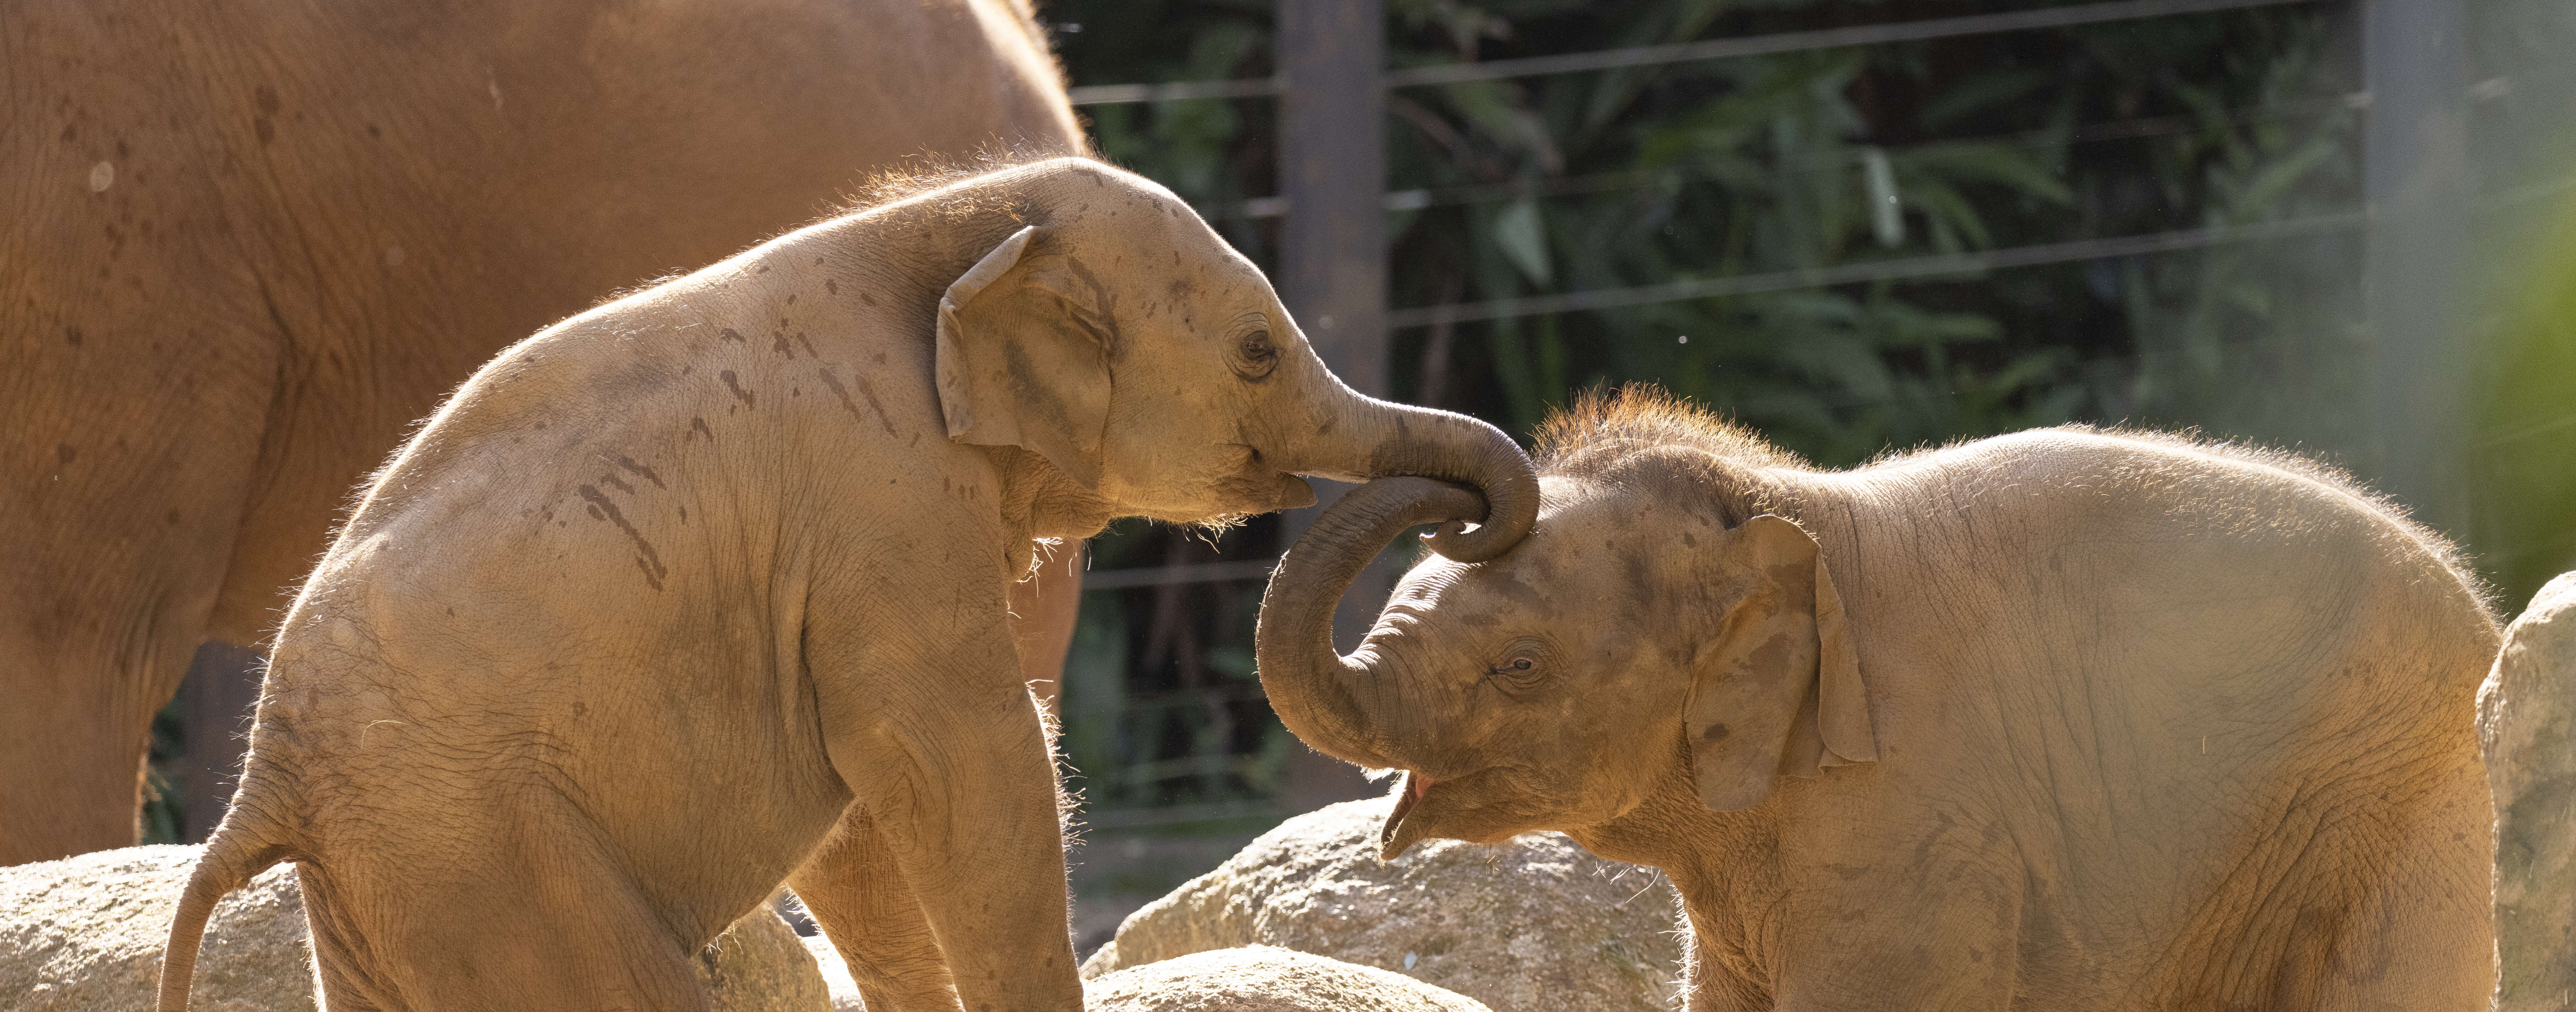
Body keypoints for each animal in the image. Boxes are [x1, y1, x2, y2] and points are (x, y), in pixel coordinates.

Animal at [157, 159, 1541, 1012]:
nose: (1475, 526)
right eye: (1258, 353)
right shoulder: (882, 508)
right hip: (480, 845)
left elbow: (870, 817)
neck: (954, 221)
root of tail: (260, 785)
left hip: (392, 879)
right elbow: (962, 768)